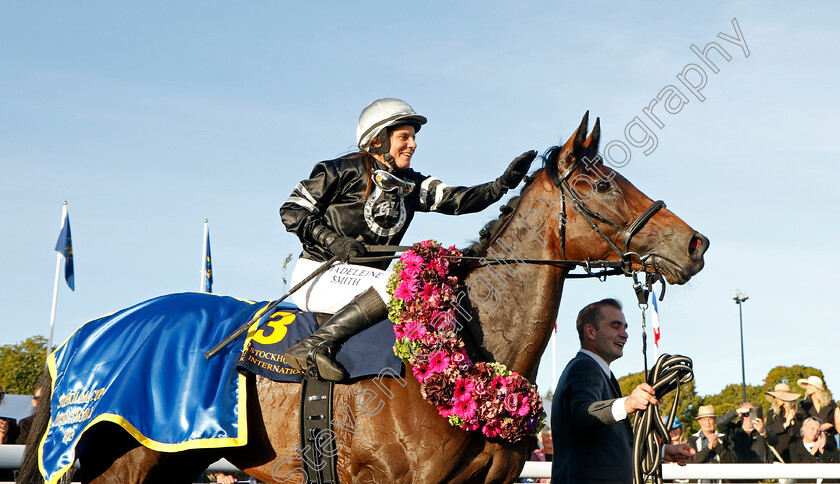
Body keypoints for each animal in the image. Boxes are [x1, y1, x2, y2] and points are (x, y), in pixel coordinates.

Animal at [16, 111, 704, 482]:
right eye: (603, 183)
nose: (695, 244)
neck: (465, 347)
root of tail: (85, 334)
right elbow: (300, 207)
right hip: (118, 460)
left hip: (173, 460)